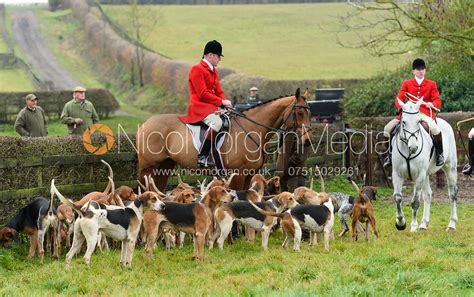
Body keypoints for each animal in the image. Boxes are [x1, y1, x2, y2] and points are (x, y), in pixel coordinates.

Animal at [137, 88, 312, 190]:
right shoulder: (239, 174)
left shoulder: (249, 174)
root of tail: (145, 123)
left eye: (310, 113)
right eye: (300, 113)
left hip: (164, 166)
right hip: (148, 168)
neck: (251, 129)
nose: (307, 141)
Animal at [390, 97, 458, 231]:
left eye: (418, 122)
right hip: (426, 174)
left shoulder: (419, 176)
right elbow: (398, 198)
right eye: (403, 122)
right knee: (427, 195)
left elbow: (415, 201)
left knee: (452, 194)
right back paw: (424, 223)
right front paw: (400, 223)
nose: (414, 147)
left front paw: (413, 226)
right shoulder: (397, 175)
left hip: (450, 168)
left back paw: (452, 224)